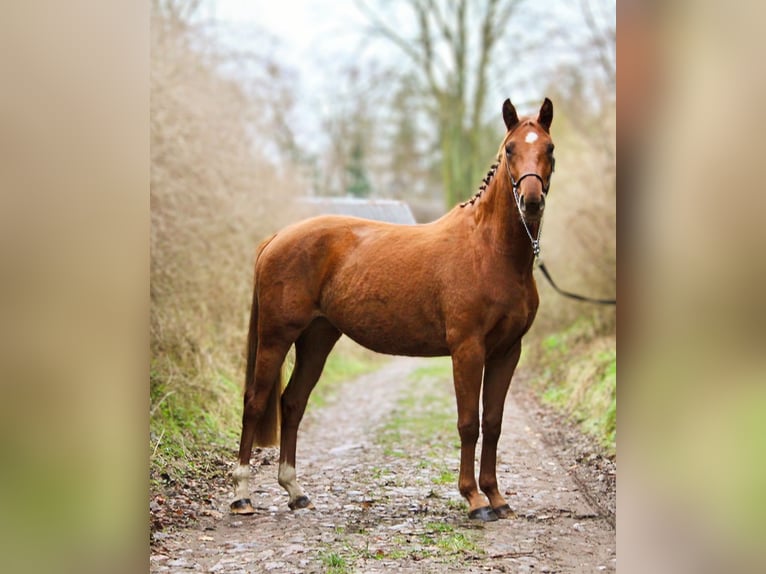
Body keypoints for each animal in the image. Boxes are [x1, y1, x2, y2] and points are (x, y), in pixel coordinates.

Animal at [231, 98, 556, 520]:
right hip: (275, 337)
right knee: (255, 402)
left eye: (549, 148)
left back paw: (296, 492)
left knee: (292, 402)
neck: (490, 251)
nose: (531, 201)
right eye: (510, 149)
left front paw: (496, 498)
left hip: (317, 338)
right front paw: (473, 499)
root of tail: (276, 238)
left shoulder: (506, 351)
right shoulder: (468, 350)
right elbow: (469, 422)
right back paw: (242, 496)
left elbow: (494, 422)